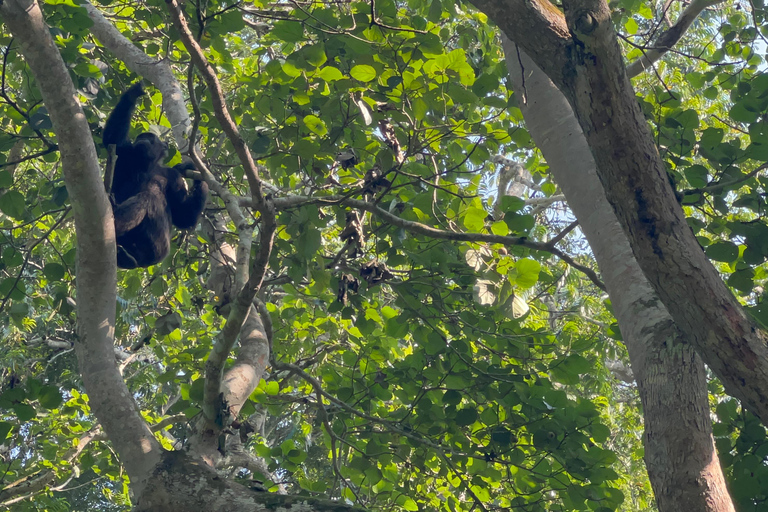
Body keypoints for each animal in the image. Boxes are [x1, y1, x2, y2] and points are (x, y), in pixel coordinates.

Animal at [104, 82, 210, 268]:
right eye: (141, 136)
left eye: (150, 138)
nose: (142, 139)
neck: (146, 165)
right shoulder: (125, 153)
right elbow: (111, 139)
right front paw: (133, 93)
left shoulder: (174, 177)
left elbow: (184, 216)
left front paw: (195, 170)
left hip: (157, 247)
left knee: (149, 198)